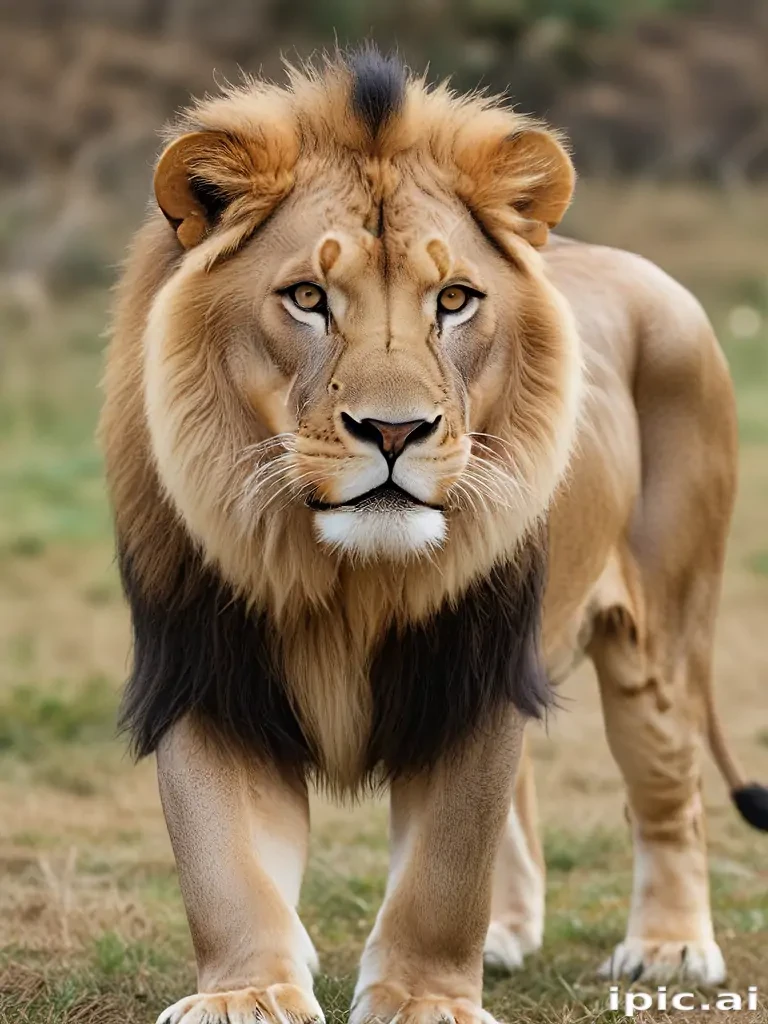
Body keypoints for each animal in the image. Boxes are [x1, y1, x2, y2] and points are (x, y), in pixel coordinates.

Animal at [100, 47, 768, 1024]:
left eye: (453, 300)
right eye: (308, 298)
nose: (393, 430)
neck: (341, 576)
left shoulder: (477, 667)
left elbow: (447, 868)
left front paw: (423, 999)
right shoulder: (204, 672)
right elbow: (224, 868)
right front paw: (249, 993)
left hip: (664, 636)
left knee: (669, 793)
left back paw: (670, 947)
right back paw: (507, 937)